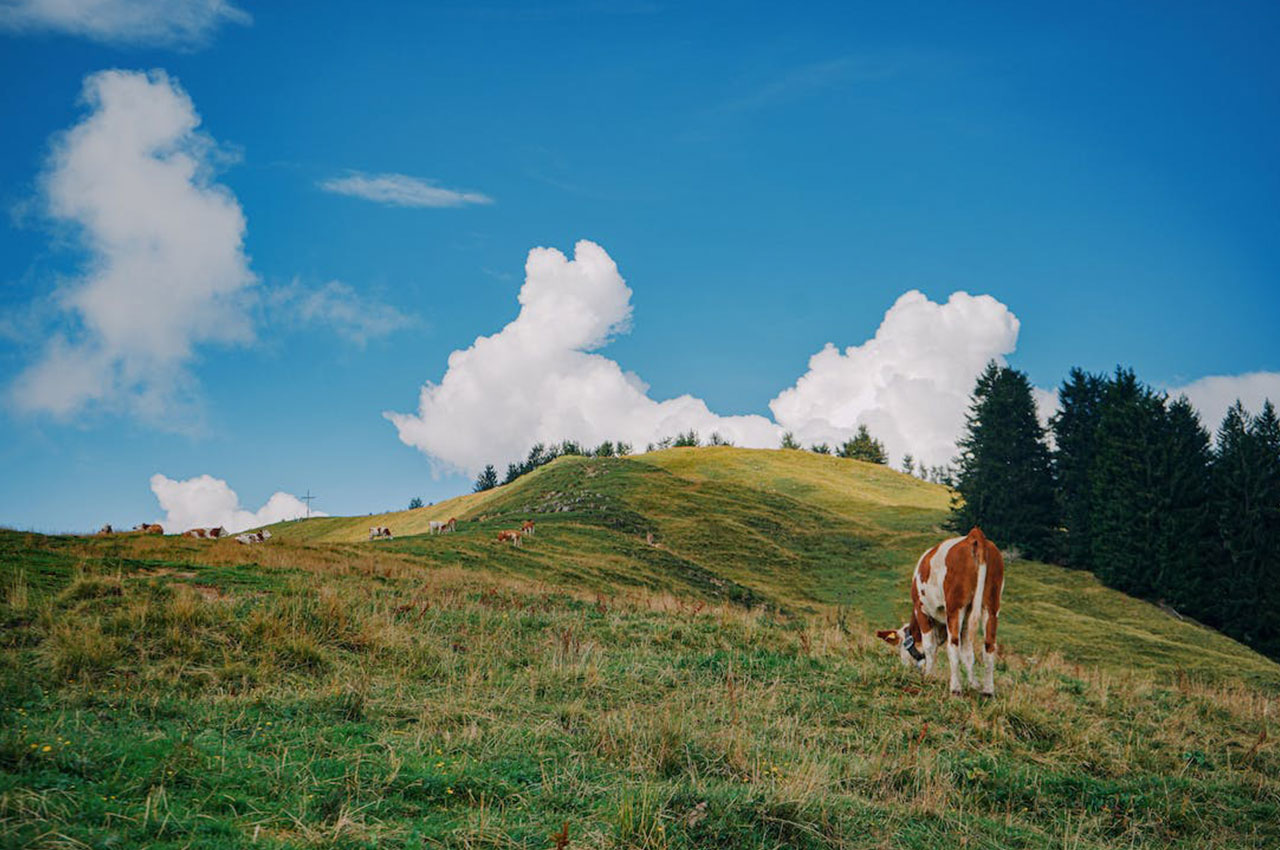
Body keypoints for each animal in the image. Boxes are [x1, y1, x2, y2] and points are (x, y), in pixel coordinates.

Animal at [875, 524, 1003, 696]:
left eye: (901, 647)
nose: (905, 668)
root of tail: (974, 536)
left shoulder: (921, 610)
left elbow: (930, 646)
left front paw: (929, 676)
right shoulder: (966, 619)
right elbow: (967, 652)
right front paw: (974, 684)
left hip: (955, 607)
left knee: (953, 645)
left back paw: (955, 689)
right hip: (991, 605)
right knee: (989, 645)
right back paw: (988, 691)